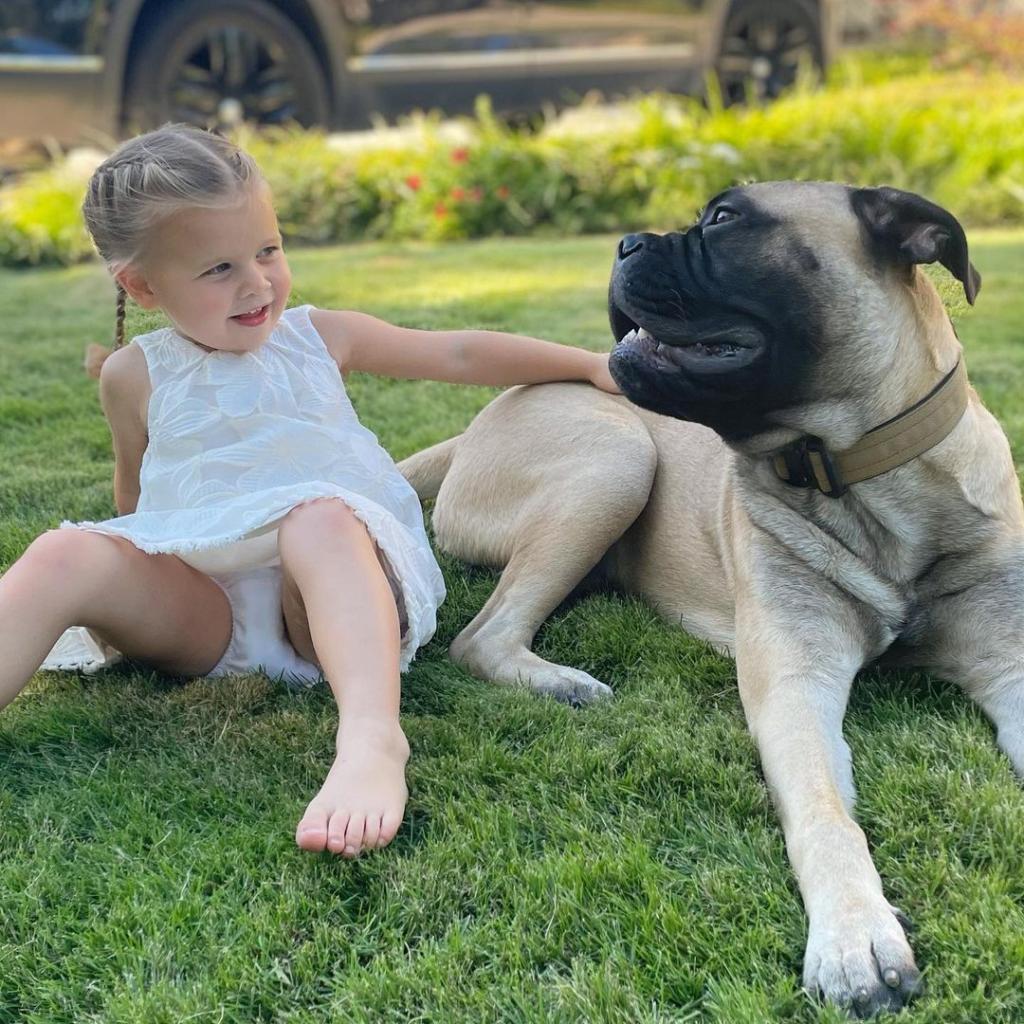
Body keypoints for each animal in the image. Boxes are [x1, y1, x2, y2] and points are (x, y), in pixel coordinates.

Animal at [395, 186, 1019, 1015]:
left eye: (725, 220)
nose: (625, 243)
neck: (867, 476)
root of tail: (469, 429)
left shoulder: (1009, 664)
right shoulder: (796, 688)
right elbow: (826, 817)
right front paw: (856, 937)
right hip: (615, 457)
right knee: (481, 637)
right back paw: (561, 684)